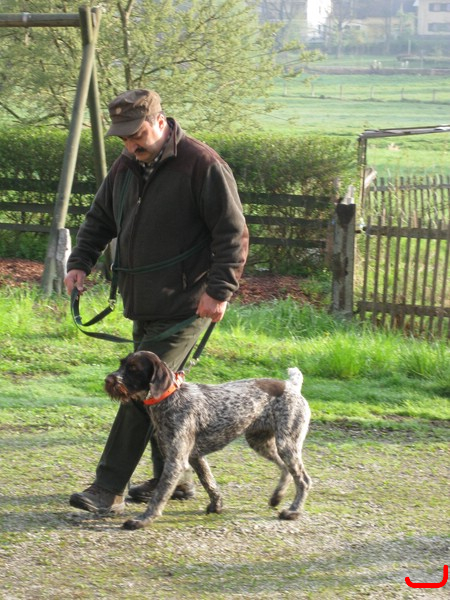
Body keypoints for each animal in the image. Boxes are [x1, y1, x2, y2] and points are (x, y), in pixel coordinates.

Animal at [104, 351, 312, 530]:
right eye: (122, 364)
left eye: (133, 368)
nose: (108, 380)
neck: (170, 397)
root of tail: (291, 386)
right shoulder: (195, 457)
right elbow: (209, 483)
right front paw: (217, 505)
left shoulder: (176, 462)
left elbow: (159, 495)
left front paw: (143, 520)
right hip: (260, 442)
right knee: (285, 469)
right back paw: (277, 497)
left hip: (286, 444)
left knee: (303, 480)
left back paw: (293, 511)